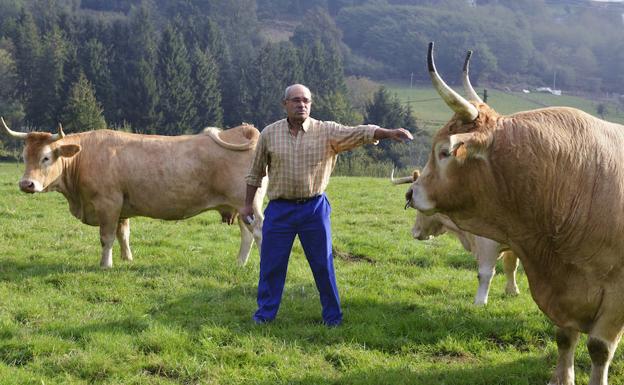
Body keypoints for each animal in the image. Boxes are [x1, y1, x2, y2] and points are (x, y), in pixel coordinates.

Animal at [2, 118, 266, 268]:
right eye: (24, 156)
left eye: (46, 157)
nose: (26, 184)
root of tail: (243, 130)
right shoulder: (121, 207)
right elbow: (123, 234)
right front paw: (127, 259)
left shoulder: (108, 204)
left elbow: (107, 237)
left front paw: (105, 265)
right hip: (240, 207)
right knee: (246, 235)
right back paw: (239, 264)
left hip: (249, 204)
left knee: (259, 232)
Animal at [404, 42, 624, 384]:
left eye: (443, 152)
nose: (410, 194)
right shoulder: (562, 292)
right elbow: (564, 337)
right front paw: (562, 378)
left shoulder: (615, 296)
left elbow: (599, 348)